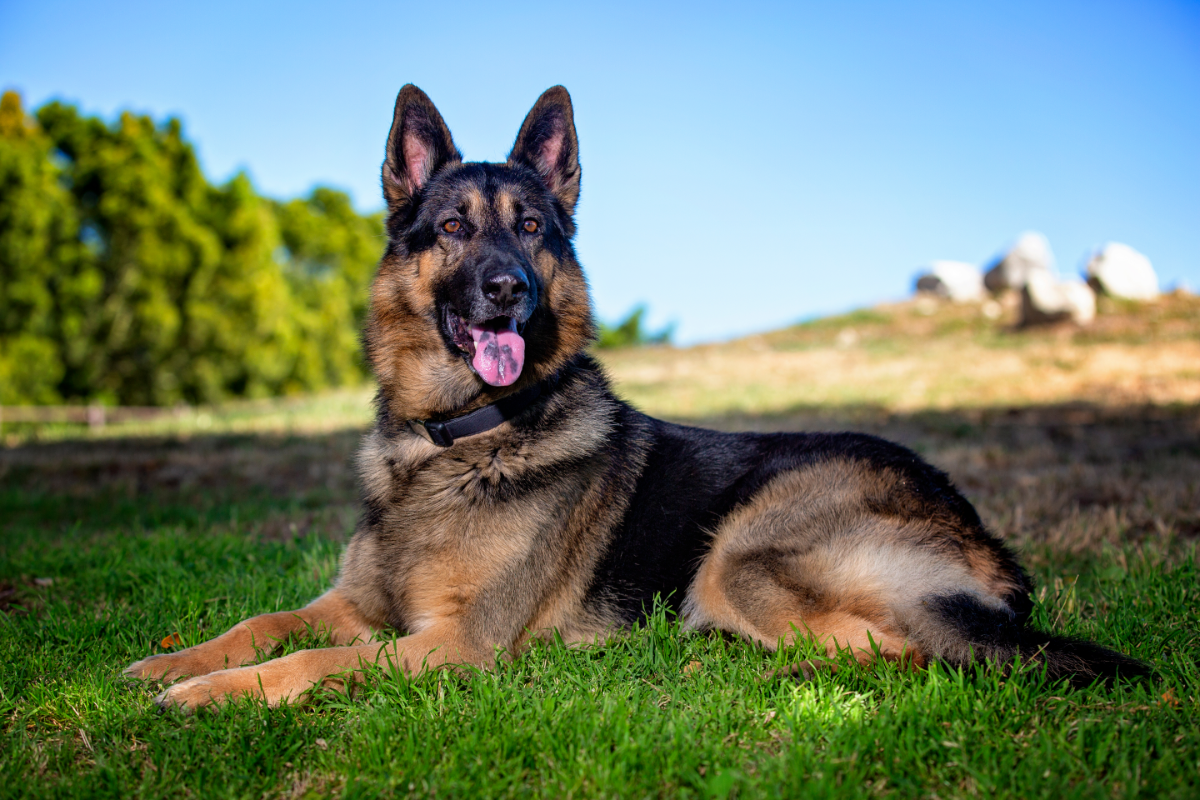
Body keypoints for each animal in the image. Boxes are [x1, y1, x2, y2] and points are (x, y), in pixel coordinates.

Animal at [126, 87, 1147, 710]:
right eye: (452, 228)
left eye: (531, 229)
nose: (507, 290)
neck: (457, 440)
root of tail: (988, 545)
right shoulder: (356, 603)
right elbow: (263, 624)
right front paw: (169, 660)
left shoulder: (455, 644)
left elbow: (315, 659)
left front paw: (205, 695)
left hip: (742, 553)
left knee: (894, 653)